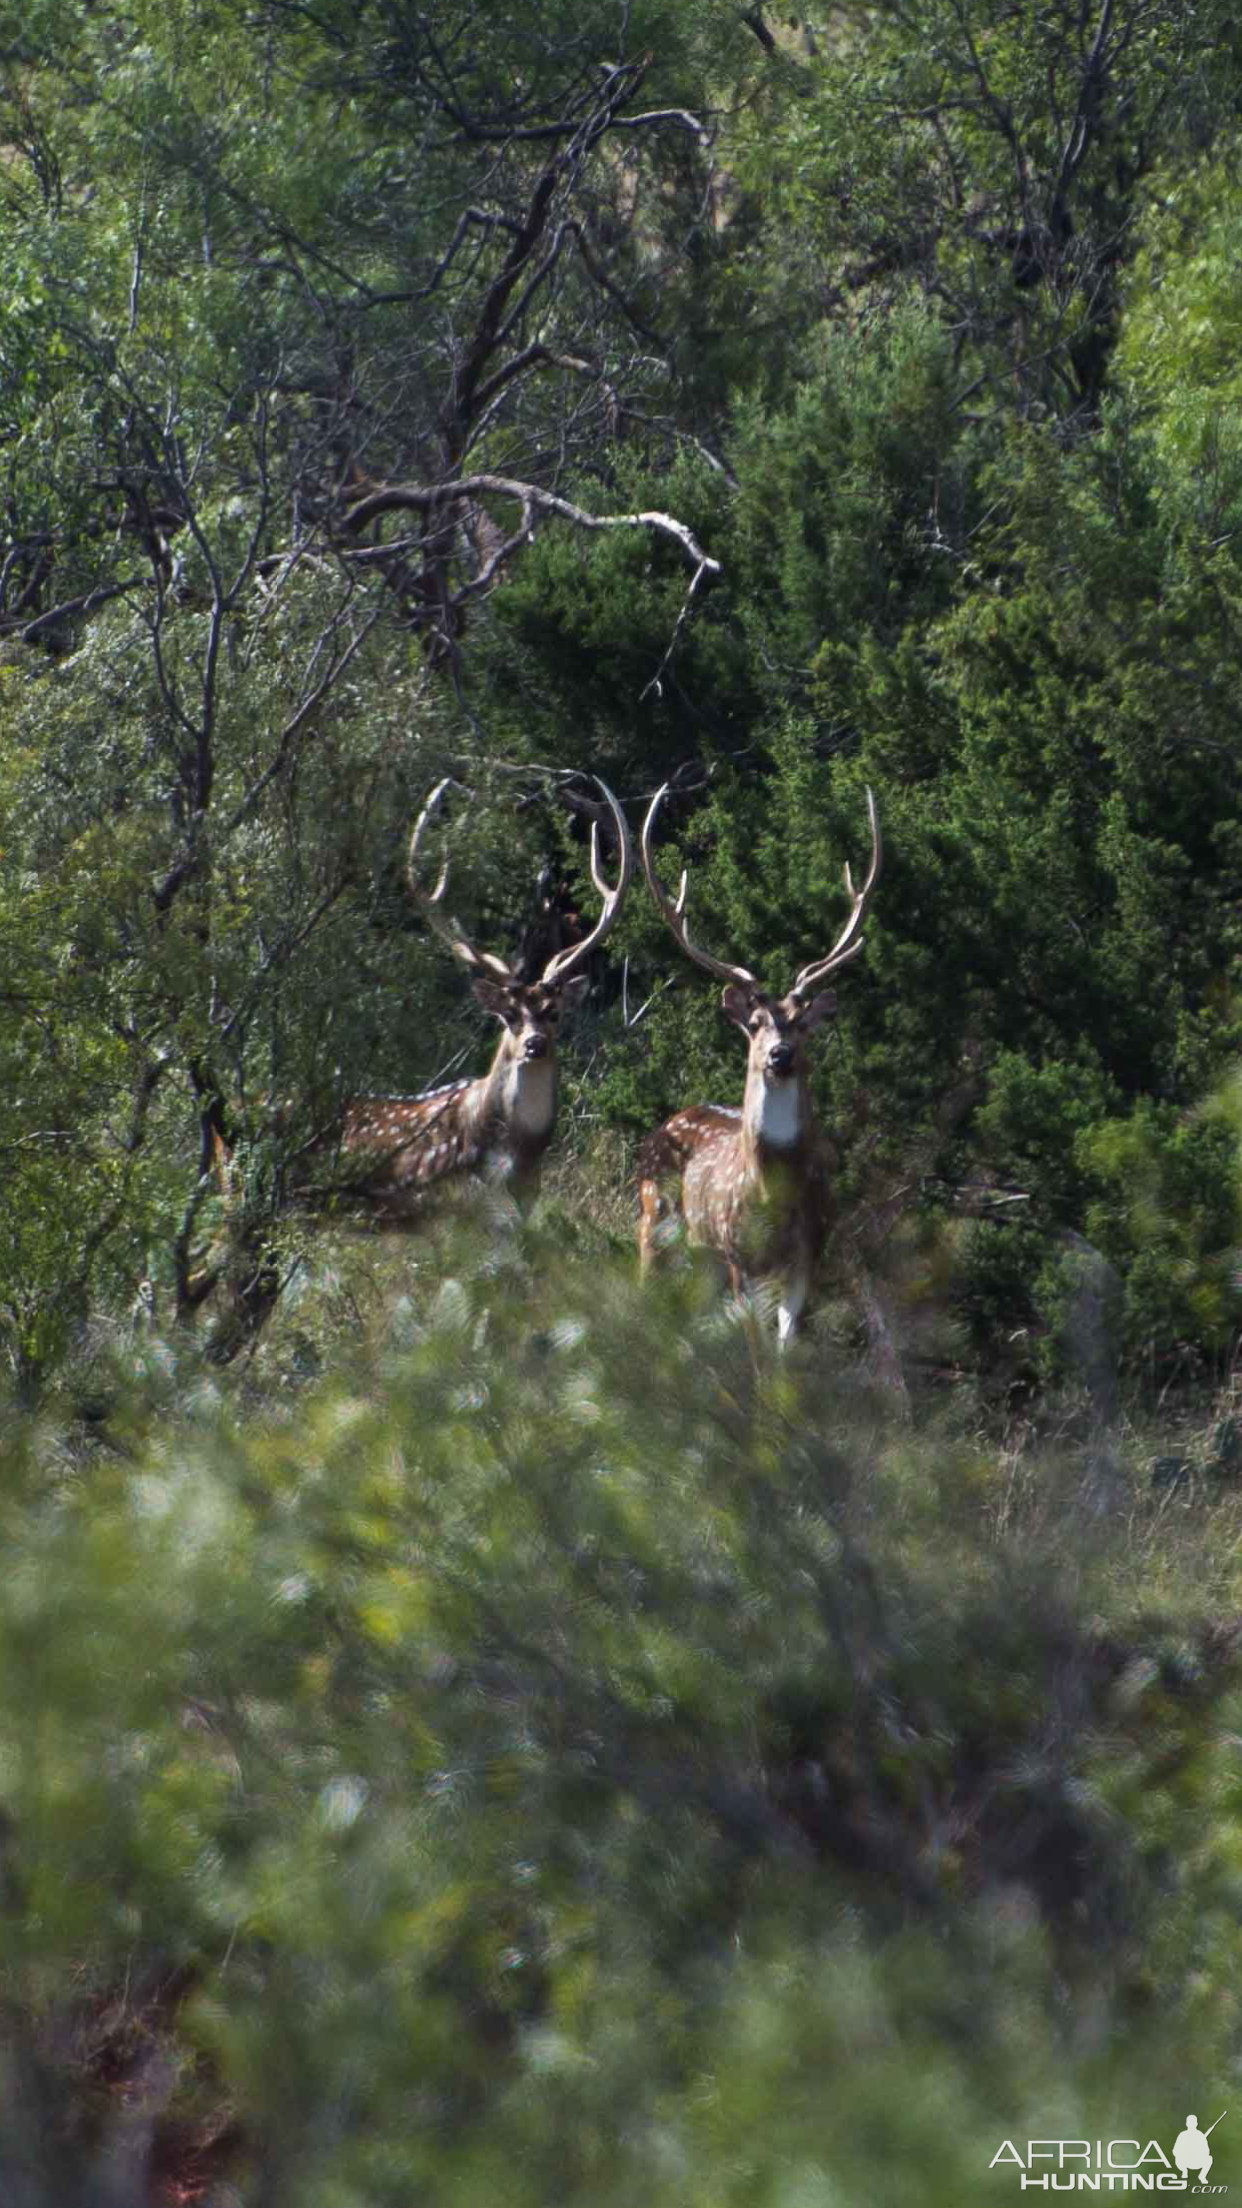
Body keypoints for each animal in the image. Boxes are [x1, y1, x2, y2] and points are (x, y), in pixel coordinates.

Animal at [636, 794, 879, 1342]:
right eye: (754, 1023)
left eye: (803, 1024)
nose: (779, 1054)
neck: (773, 1197)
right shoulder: (737, 1254)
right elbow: (754, 1348)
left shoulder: (809, 1253)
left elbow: (786, 1344)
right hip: (655, 1220)